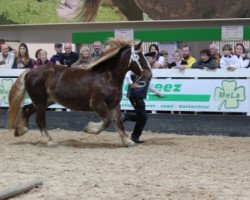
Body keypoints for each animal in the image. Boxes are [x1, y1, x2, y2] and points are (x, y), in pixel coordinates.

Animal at [7, 38, 151, 146]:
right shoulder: (97, 104)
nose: (149, 74)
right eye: (138, 56)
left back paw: (20, 130)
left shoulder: (114, 104)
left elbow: (119, 122)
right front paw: (90, 129)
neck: (107, 77)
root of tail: (30, 71)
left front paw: (127, 141)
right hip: (41, 102)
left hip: (45, 101)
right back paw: (49, 140)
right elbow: (107, 121)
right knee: (39, 120)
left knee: (26, 109)